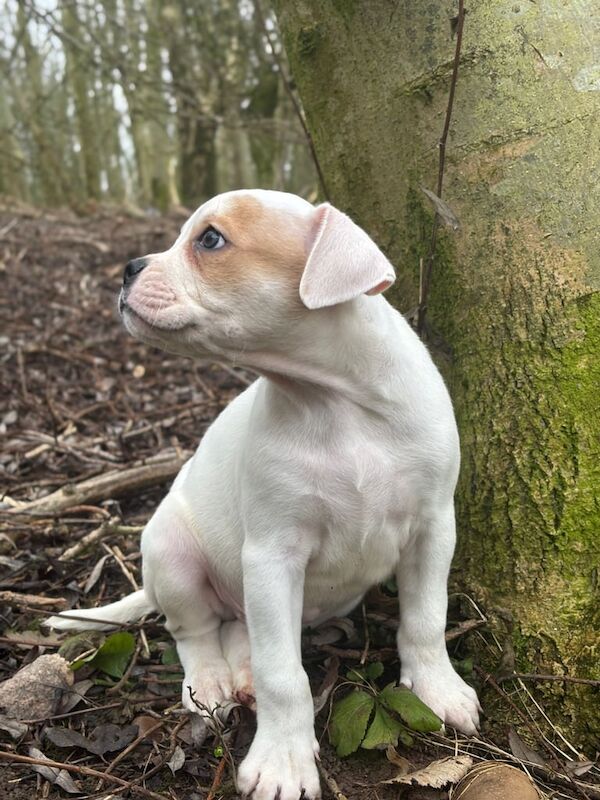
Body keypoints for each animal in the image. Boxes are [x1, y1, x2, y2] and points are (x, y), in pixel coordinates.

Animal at [47, 192, 480, 800]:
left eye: (210, 240)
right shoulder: (273, 555)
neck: (335, 402)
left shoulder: (433, 527)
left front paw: (437, 689)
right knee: (195, 632)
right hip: (174, 556)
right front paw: (282, 760)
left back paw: (242, 670)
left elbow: (426, 618)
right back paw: (211, 682)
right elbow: (285, 675)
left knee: (239, 629)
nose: (128, 268)